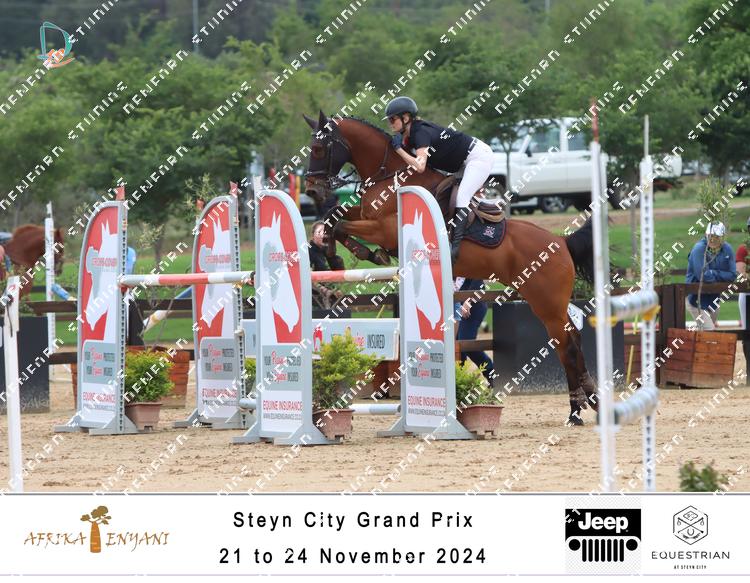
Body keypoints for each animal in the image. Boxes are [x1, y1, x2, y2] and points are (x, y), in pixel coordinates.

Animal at [302, 111, 598, 426]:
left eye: (319, 149)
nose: (311, 189)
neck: (389, 176)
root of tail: (561, 242)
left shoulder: (384, 229)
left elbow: (340, 223)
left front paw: (347, 255)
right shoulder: (367, 215)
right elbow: (335, 215)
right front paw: (340, 251)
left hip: (547, 305)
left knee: (566, 346)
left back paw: (576, 411)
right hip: (548, 302)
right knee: (573, 340)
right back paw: (590, 401)